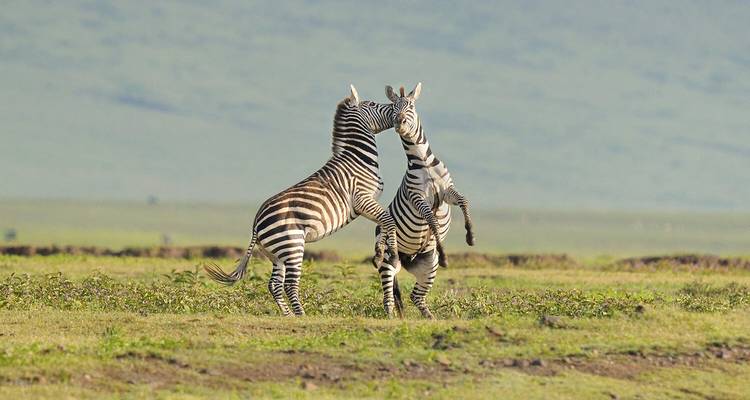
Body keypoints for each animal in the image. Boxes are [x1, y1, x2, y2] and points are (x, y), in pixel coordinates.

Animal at [205, 85, 401, 316]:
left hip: (277, 254)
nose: (397, 113)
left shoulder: (367, 205)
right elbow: (388, 221)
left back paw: (288, 316)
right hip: (292, 245)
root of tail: (256, 224)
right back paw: (301, 316)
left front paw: (380, 253)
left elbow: (384, 223)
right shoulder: (362, 199)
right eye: (372, 104)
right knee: (289, 284)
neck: (357, 158)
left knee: (274, 285)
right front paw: (393, 256)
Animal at [373, 83, 475, 319]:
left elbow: (464, 201)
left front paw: (470, 235)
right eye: (393, 108)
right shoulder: (417, 197)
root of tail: (406, 260)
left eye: (410, 106)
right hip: (388, 262)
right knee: (388, 297)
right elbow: (432, 220)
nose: (399, 122)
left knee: (415, 296)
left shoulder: (447, 191)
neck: (424, 162)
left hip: (429, 265)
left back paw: (430, 318)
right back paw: (391, 318)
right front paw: (445, 253)